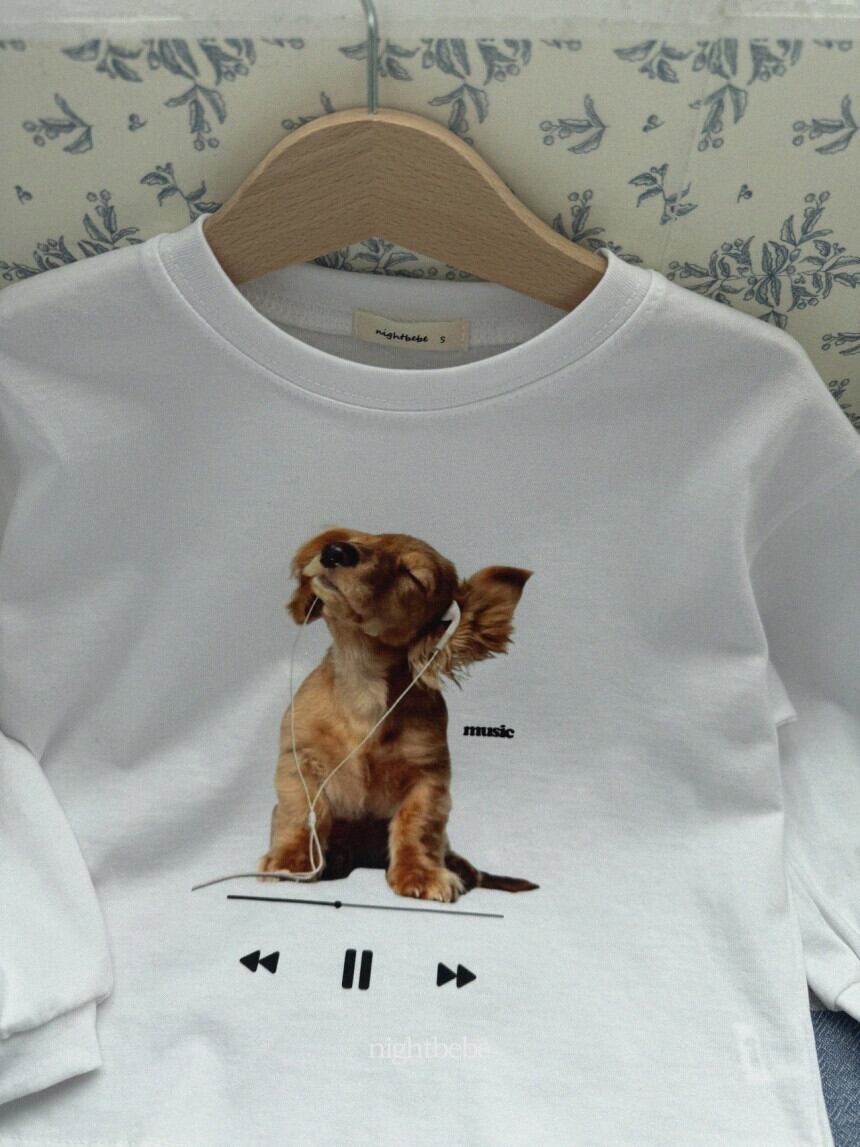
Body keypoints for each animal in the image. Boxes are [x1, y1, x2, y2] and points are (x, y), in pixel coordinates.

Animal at [257, 527, 539, 902]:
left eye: (412, 576)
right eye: (361, 540)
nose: (336, 551)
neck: (363, 683)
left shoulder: (428, 776)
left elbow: (416, 825)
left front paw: (420, 873)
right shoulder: (298, 758)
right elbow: (300, 813)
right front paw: (290, 860)